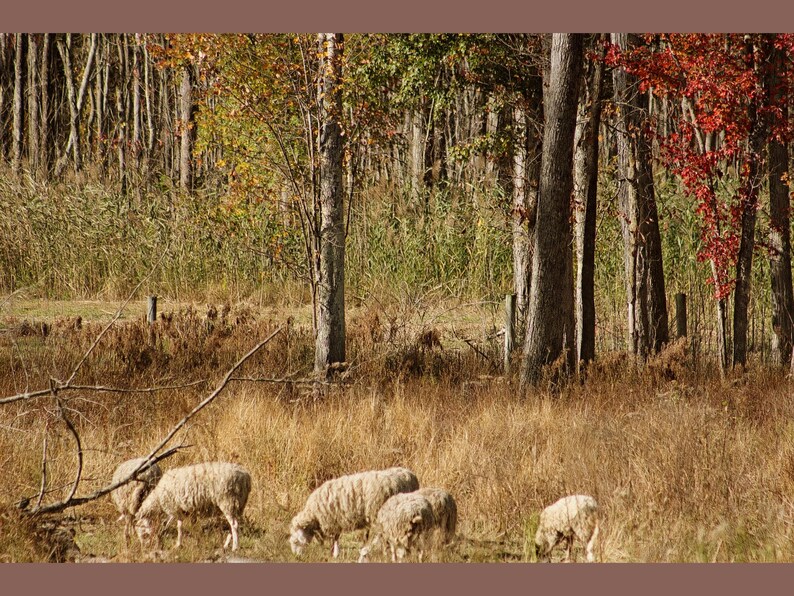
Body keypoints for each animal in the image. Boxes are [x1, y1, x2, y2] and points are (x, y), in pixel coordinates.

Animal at [289, 466, 419, 559]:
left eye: (295, 541)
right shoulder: (336, 521)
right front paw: (336, 553)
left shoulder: (331, 521)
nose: (296, 557)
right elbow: (336, 537)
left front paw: (333, 553)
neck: (314, 515)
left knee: (383, 534)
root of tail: (410, 476)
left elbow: (334, 539)